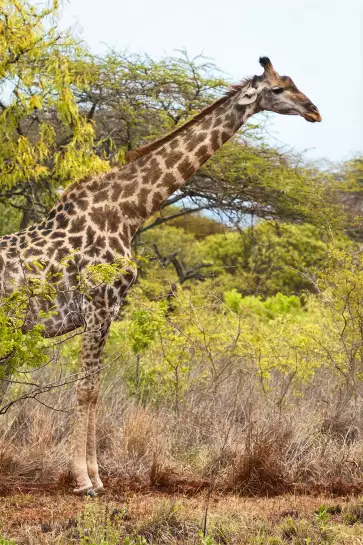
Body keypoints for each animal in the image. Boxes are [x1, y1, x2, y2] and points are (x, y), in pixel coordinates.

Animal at [0, 58, 322, 492]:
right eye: (277, 90)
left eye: (293, 82)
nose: (313, 111)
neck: (129, 212)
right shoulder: (99, 306)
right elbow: (87, 388)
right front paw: (84, 480)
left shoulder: (109, 311)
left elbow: (95, 387)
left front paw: (97, 476)